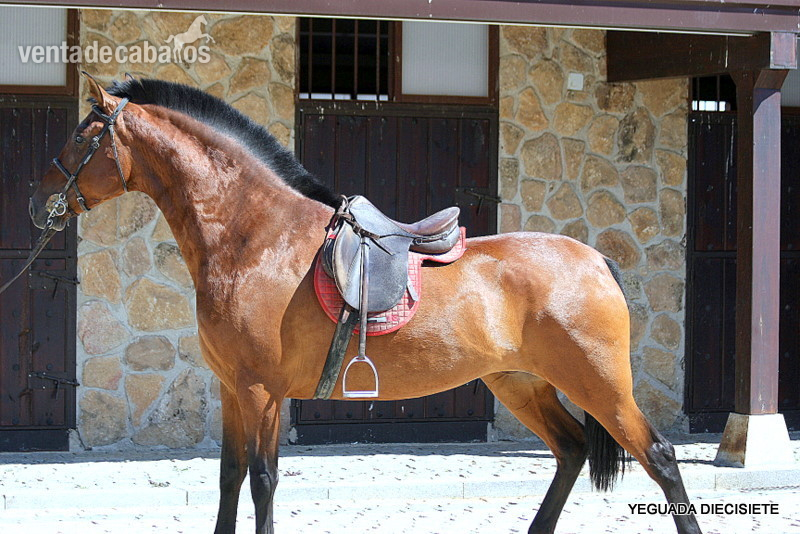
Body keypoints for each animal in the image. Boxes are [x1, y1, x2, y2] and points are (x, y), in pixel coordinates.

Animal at [29, 75, 702, 534]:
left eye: (84, 135)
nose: (39, 204)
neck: (255, 236)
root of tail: (594, 259)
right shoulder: (232, 388)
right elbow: (229, 478)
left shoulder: (262, 391)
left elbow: (263, 481)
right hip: (520, 381)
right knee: (570, 451)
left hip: (598, 382)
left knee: (660, 458)